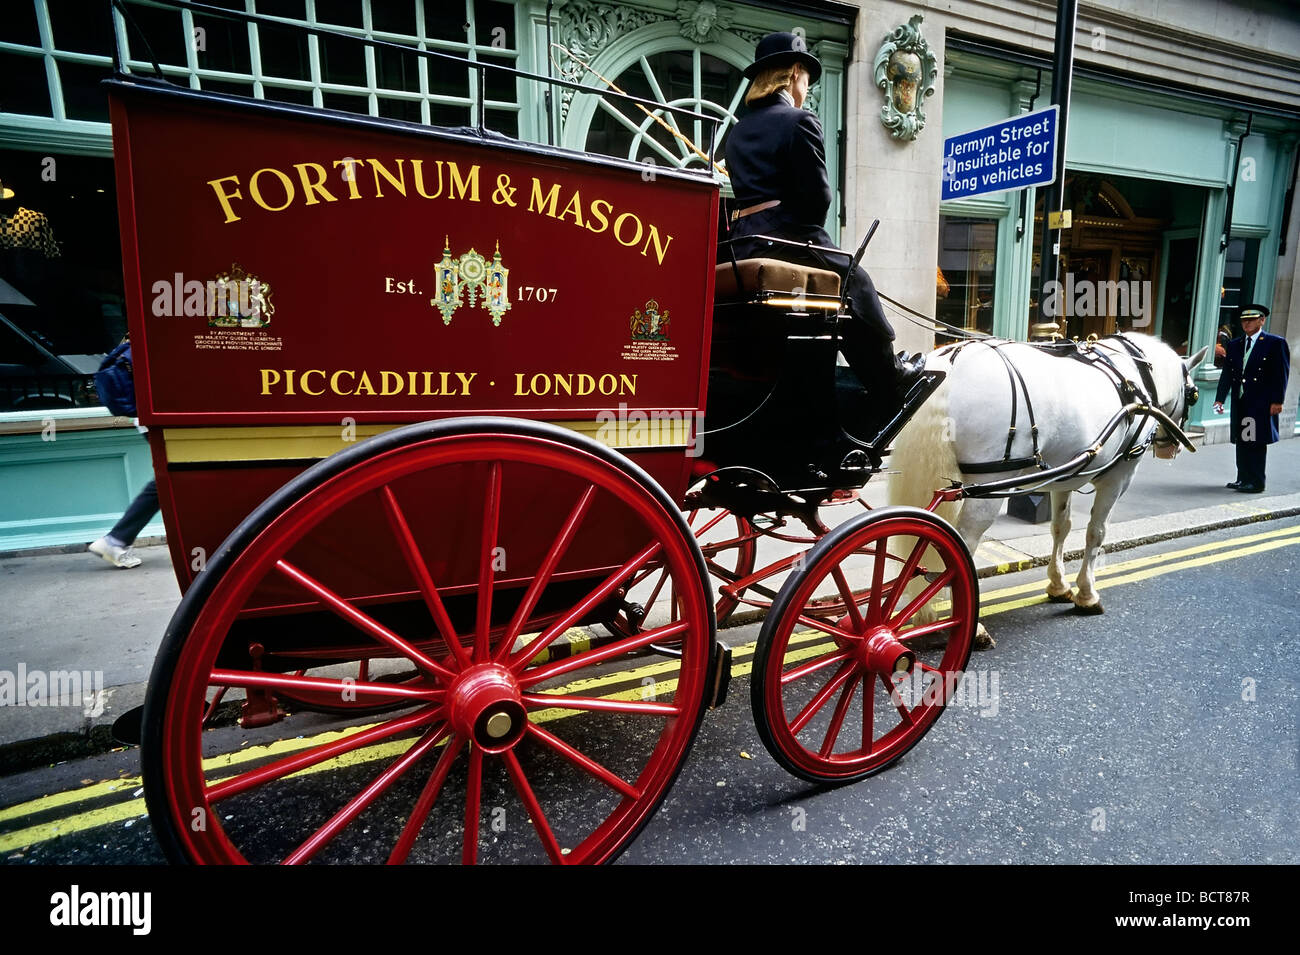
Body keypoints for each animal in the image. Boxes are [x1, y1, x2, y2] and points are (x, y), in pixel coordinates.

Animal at [883, 332, 1206, 647]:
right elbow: (1096, 532)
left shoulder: (1064, 478)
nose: (1171, 448)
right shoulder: (1118, 478)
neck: (1135, 376)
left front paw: (1058, 585)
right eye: (1193, 394)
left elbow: (1060, 527)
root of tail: (953, 360)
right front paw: (1087, 594)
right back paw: (973, 629)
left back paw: (923, 615)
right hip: (987, 485)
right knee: (960, 545)